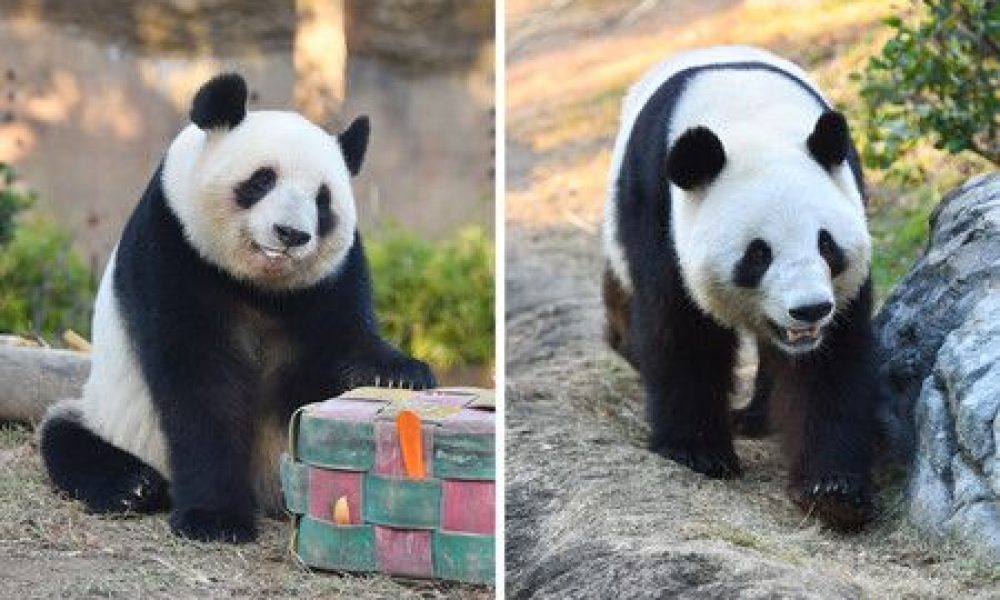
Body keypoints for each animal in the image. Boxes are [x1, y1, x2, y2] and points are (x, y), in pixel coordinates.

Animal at [38, 73, 435, 543]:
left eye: (323, 200)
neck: (259, 286)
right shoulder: (173, 248)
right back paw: (132, 486)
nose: (291, 234)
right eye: (262, 180)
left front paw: (398, 375)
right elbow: (201, 383)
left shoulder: (333, 279)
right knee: (64, 435)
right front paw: (215, 518)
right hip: (110, 417)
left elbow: (340, 345)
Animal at [602, 46, 878, 530]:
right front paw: (697, 452)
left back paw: (755, 417)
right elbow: (682, 330)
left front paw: (833, 491)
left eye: (826, 243)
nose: (810, 309)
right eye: (758, 254)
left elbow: (832, 362)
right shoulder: (658, 210)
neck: (750, 116)